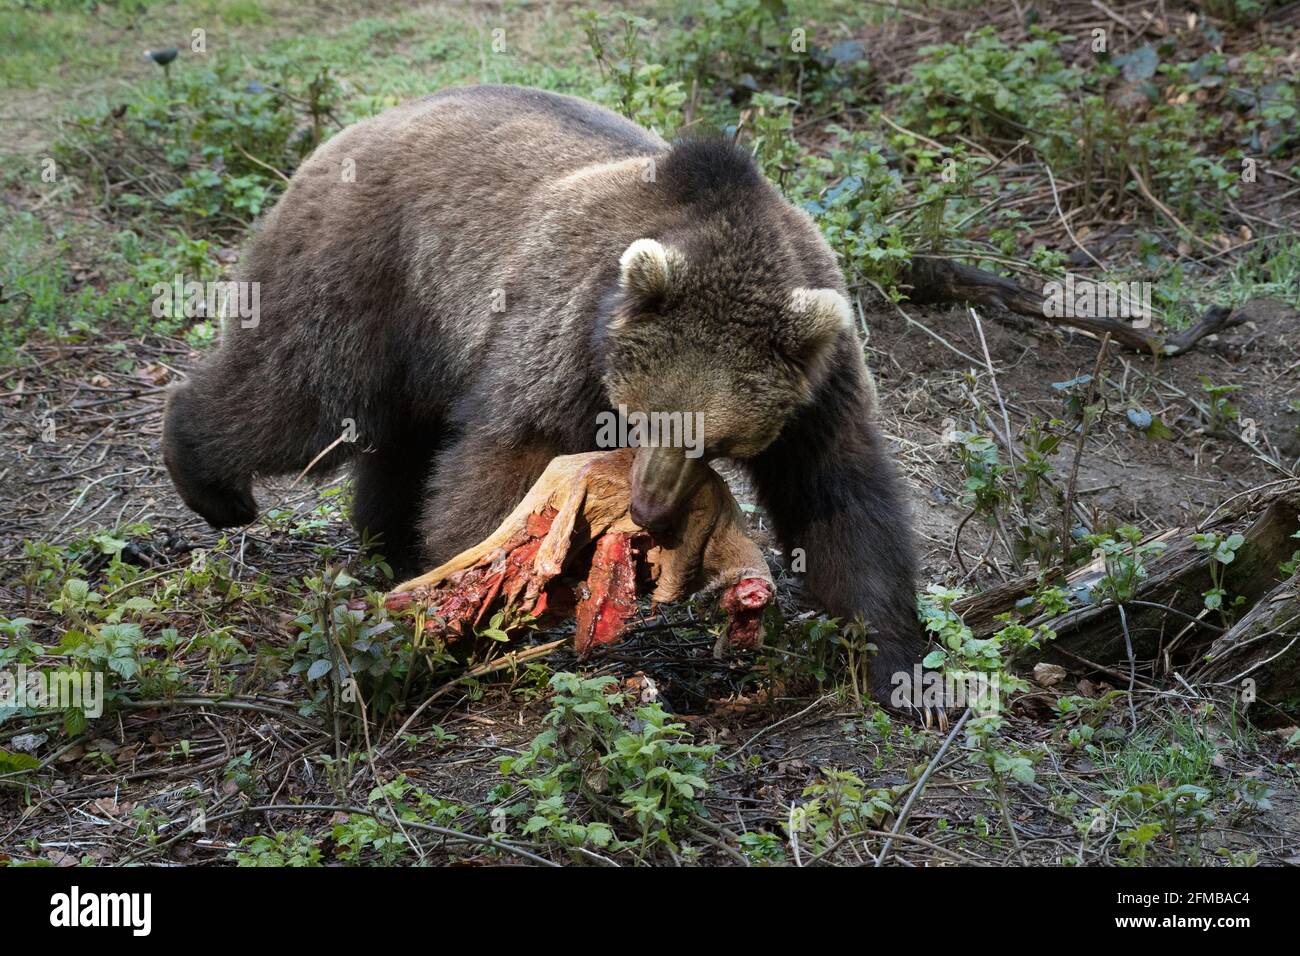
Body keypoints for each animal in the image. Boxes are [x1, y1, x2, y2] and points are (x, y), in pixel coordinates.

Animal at [162, 83, 930, 702]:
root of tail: (355, 128)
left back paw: (390, 537)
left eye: (714, 440)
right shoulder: (564, 327)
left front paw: (893, 665)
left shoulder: (818, 382)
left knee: (400, 439)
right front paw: (486, 606)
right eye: (644, 420)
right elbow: (509, 459)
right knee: (299, 398)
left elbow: (842, 497)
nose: (651, 508)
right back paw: (213, 481)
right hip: (372, 274)